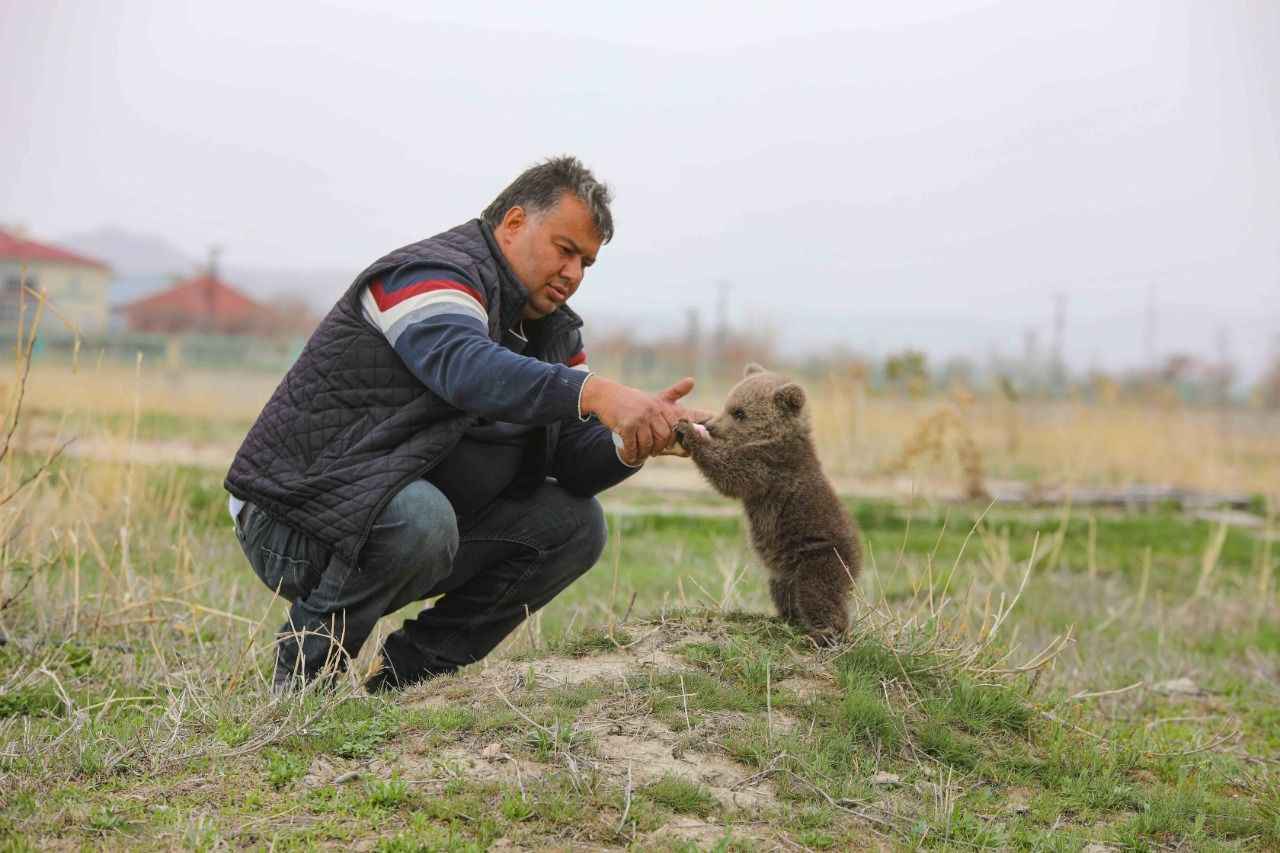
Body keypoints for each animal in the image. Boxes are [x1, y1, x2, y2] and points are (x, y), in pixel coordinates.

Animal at [675, 364, 861, 643]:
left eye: (739, 412)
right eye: (728, 404)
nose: (712, 425)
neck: (774, 437)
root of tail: (857, 564)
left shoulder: (770, 466)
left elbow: (729, 472)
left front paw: (688, 432)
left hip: (821, 558)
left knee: (818, 594)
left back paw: (825, 633)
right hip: (784, 573)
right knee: (784, 592)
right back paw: (786, 618)